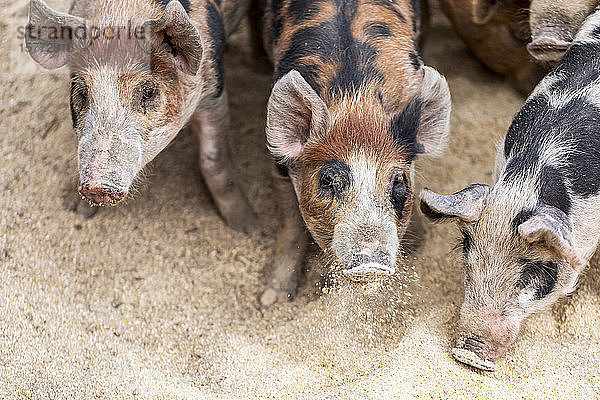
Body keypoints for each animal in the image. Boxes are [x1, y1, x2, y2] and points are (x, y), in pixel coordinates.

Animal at [24, 0, 258, 233]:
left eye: (148, 92)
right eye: (81, 92)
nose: (97, 187)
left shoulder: (213, 94)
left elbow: (213, 163)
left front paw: (250, 227)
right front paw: (78, 210)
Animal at [255, 0, 452, 306]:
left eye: (399, 182)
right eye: (327, 180)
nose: (370, 263)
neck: (356, 99)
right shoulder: (279, 161)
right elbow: (291, 222)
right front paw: (271, 300)